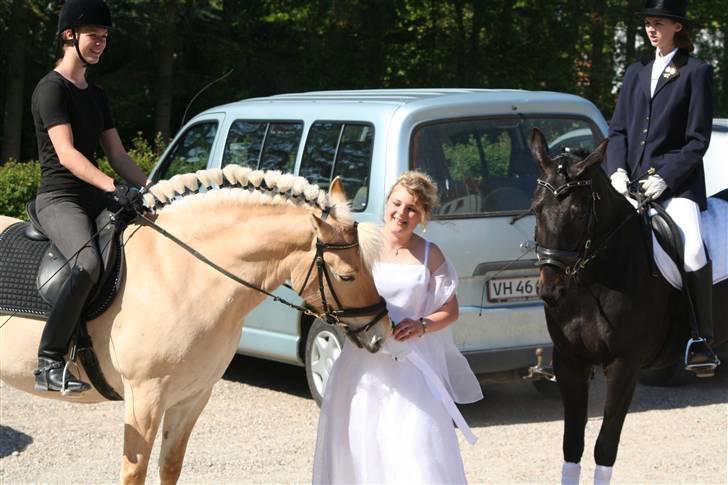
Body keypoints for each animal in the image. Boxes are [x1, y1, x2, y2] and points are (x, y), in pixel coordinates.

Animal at [0, 165, 390, 480]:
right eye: (347, 276)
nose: (381, 333)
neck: (183, 274)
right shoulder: (144, 397)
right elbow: (134, 472)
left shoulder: (193, 396)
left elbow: (170, 466)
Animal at [528, 129, 728, 484]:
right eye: (536, 208)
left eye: (579, 211)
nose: (551, 290)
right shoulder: (569, 362)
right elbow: (571, 445)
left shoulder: (623, 365)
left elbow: (605, 447)